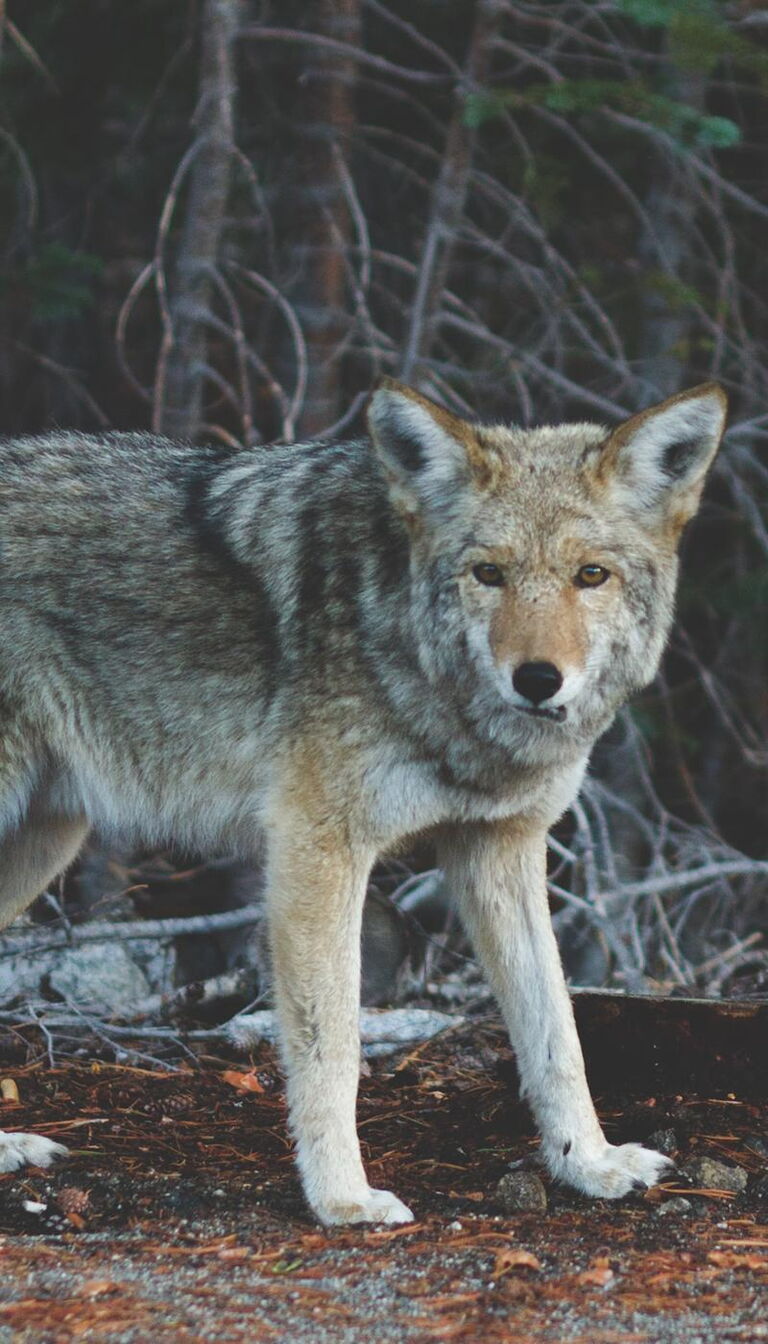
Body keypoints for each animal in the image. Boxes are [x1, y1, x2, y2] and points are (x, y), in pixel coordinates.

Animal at [0, 378, 726, 1224]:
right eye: (489, 574)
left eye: (590, 576)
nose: (538, 679)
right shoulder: (317, 848)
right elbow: (334, 1043)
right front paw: (342, 1199)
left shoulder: (500, 849)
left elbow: (557, 1031)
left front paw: (590, 1164)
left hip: (46, 839)